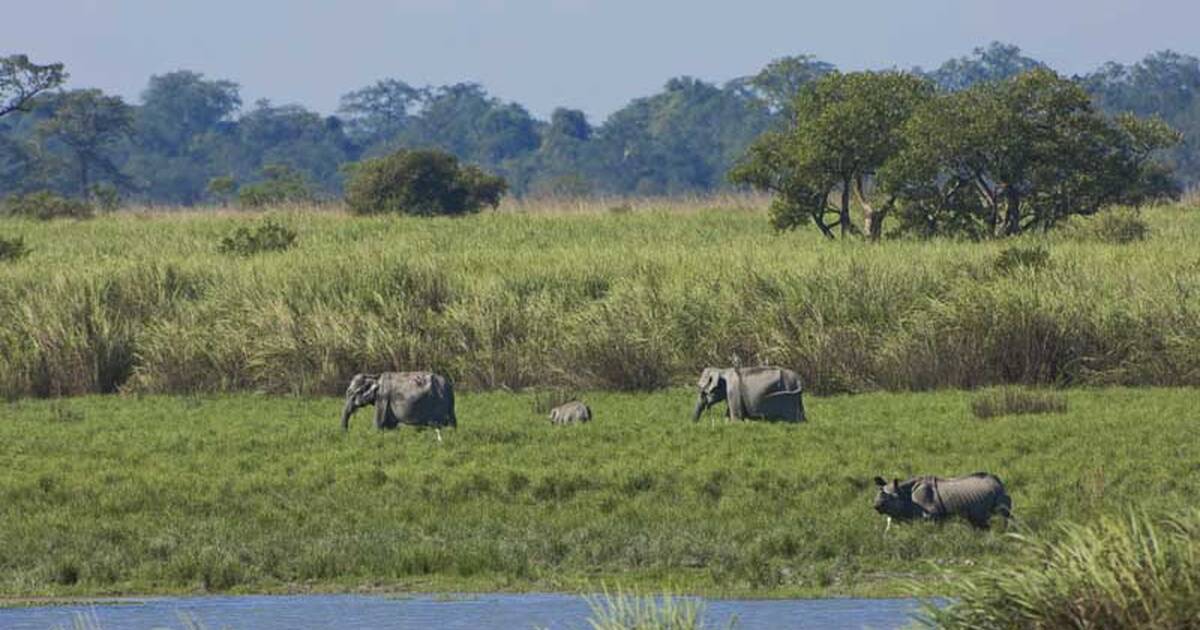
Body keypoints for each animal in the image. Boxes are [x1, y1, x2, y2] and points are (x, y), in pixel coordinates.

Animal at [873, 470, 1012, 530]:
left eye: (890, 498)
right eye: (877, 495)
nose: (876, 505)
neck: (903, 493)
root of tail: (999, 482)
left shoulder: (932, 514)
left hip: (1000, 495)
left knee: (1004, 514)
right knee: (979, 521)